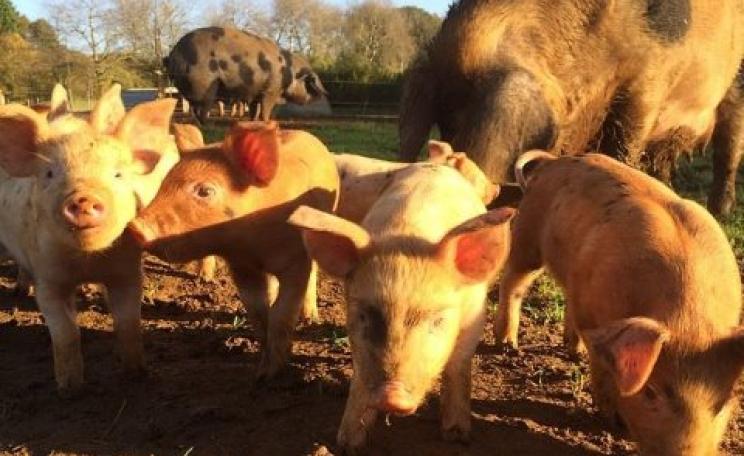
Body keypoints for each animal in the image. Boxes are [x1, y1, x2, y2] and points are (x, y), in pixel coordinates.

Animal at [0, 84, 179, 392]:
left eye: (118, 174)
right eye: (49, 174)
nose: (83, 198)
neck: (87, 262)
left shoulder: (128, 271)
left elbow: (129, 325)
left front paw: (136, 375)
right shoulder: (49, 279)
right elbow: (66, 333)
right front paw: (70, 389)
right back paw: (20, 292)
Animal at [128, 121, 338, 377]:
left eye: (205, 191)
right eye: (165, 183)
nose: (135, 227)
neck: (255, 246)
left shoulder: (295, 262)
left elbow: (282, 314)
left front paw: (270, 376)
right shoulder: (241, 266)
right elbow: (258, 314)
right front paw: (260, 369)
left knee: (313, 275)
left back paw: (311, 317)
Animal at [165, 27, 328, 124]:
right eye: (309, 82)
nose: (324, 94)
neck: (288, 72)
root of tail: (173, 54)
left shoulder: (254, 92)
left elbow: (254, 109)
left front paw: (253, 122)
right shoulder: (271, 91)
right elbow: (265, 108)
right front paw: (266, 122)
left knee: (194, 108)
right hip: (204, 86)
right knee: (202, 108)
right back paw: (208, 125)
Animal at [289, 160, 514, 453]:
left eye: (438, 321)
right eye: (363, 316)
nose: (391, 395)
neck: (409, 236)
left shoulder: (475, 316)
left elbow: (457, 367)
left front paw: (457, 436)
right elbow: (360, 375)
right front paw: (347, 444)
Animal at [494, 151, 744, 455]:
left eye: (723, 403)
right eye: (650, 391)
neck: (688, 320)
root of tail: (553, 161)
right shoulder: (594, 316)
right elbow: (602, 368)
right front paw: (611, 419)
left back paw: (573, 352)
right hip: (528, 234)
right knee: (513, 281)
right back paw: (508, 345)